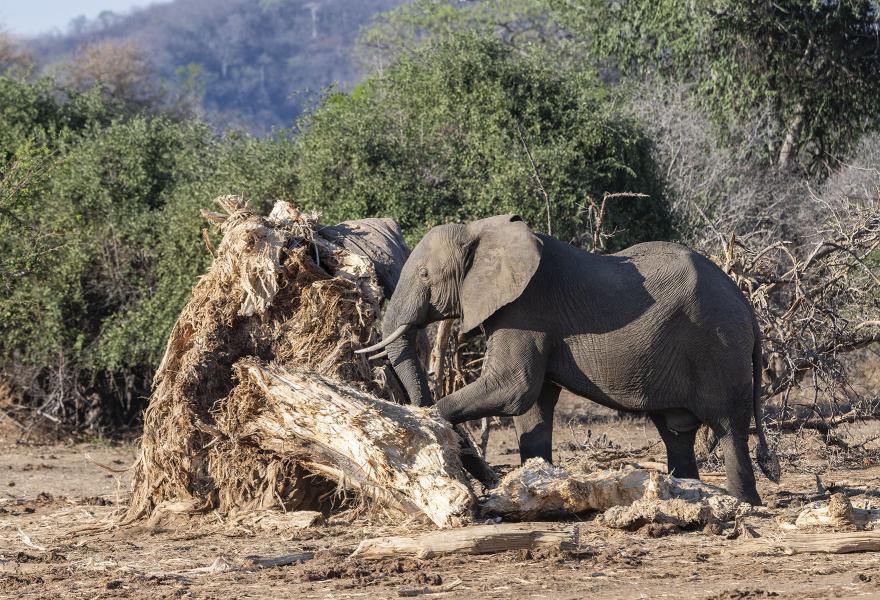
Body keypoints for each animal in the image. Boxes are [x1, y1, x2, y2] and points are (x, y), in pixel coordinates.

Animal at [357, 214, 780, 505]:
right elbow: (533, 407)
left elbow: (514, 389)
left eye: (425, 275)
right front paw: (533, 488)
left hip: (719, 349)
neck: (481, 230)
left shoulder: (525, 308)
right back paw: (688, 493)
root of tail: (746, 304)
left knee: (728, 428)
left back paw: (743, 503)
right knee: (676, 434)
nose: (491, 481)